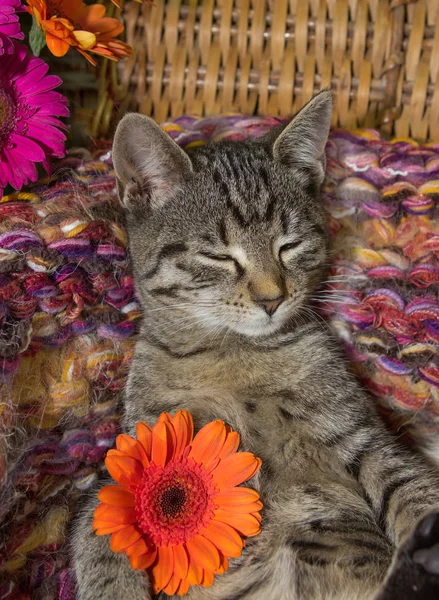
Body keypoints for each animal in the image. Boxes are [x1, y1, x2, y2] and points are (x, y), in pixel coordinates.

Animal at [72, 91, 439, 596]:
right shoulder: (132, 463)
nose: (272, 298)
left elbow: (415, 491)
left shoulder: (365, 439)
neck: (233, 354)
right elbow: (98, 533)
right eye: (219, 256)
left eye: (290, 245)